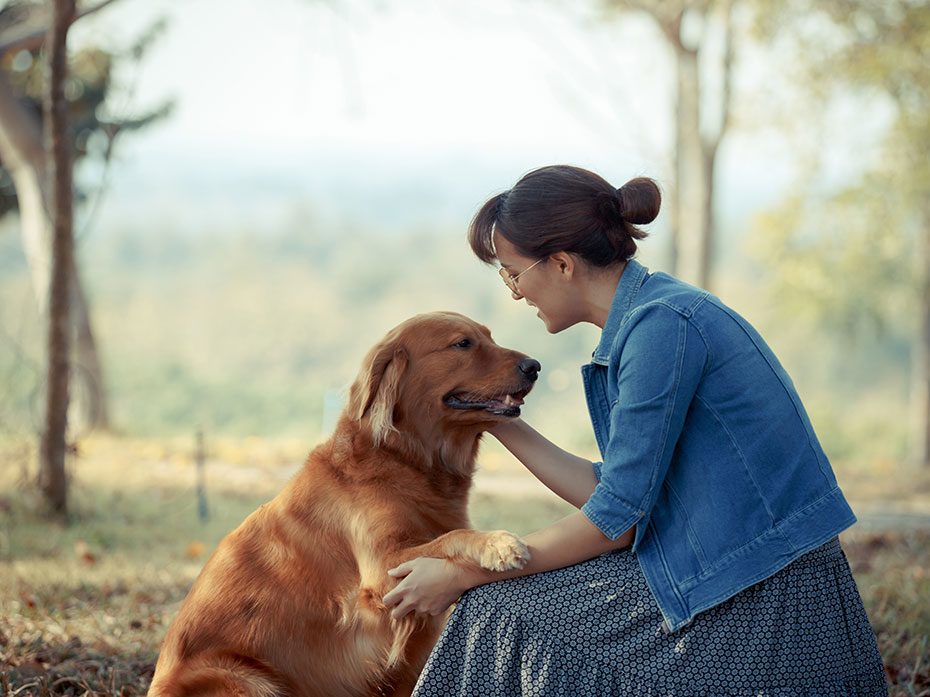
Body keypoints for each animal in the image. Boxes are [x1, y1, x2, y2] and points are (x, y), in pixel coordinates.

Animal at [148, 312, 540, 696]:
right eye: (462, 343)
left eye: (490, 337)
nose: (534, 365)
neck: (404, 459)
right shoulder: (384, 570)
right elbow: (452, 537)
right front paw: (498, 543)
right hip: (245, 678)